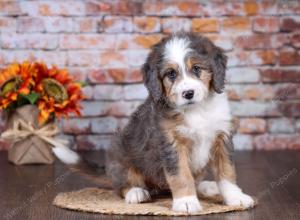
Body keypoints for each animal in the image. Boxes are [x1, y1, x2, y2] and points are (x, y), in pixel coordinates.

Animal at [54, 32, 253, 213]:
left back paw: (207, 187)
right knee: (121, 185)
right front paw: (186, 202)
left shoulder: (222, 137)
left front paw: (235, 197)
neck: (197, 110)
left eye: (197, 69)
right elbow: (181, 175)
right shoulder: (171, 144)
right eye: (171, 74)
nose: (188, 93)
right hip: (120, 152)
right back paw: (136, 192)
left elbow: (227, 172)